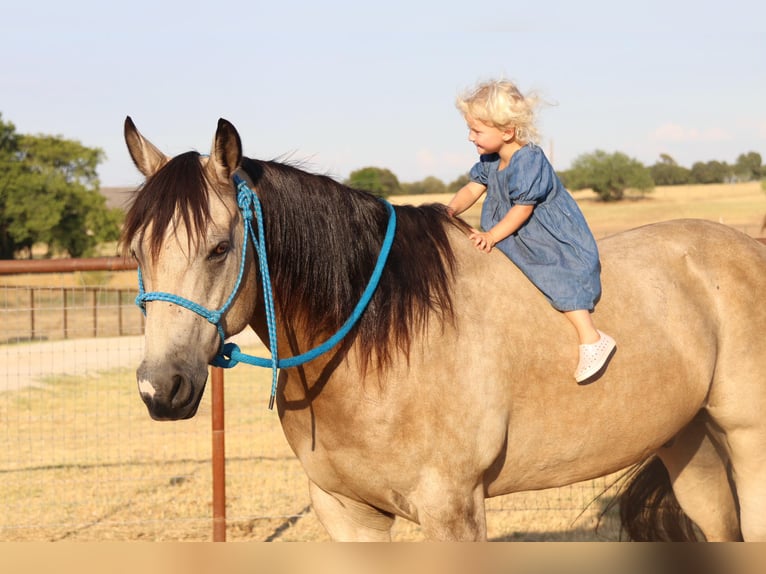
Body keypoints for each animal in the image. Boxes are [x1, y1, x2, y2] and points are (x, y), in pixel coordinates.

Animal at [120, 118, 766, 544]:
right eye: (137, 251)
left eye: (219, 248)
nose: (160, 389)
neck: (373, 342)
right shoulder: (345, 513)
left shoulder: (452, 510)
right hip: (690, 442)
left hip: (747, 443)